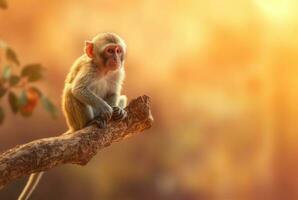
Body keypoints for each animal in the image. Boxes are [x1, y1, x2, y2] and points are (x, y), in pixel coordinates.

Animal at [17, 32, 127, 200]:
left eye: (118, 50)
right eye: (109, 51)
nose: (116, 59)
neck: (103, 70)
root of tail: (73, 127)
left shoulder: (118, 72)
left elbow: (114, 93)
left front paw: (116, 111)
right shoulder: (89, 69)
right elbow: (78, 89)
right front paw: (105, 109)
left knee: (122, 97)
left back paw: (119, 110)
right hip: (76, 121)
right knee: (70, 91)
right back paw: (90, 122)